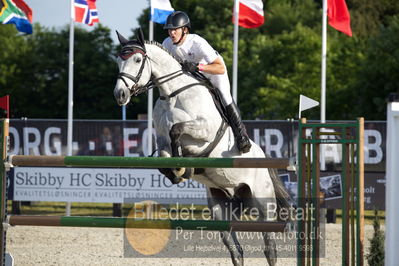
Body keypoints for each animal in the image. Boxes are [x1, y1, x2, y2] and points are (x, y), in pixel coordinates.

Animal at [113, 30, 290, 264]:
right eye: (118, 61)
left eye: (137, 60)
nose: (120, 95)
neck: (172, 94)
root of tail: (263, 158)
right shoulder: (161, 139)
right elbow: (164, 155)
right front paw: (178, 172)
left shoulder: (204, 130)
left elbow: (177, 130)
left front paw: (182, 167)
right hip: (221, 207)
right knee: (235, 249)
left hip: (262, 201)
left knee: (269, 246)